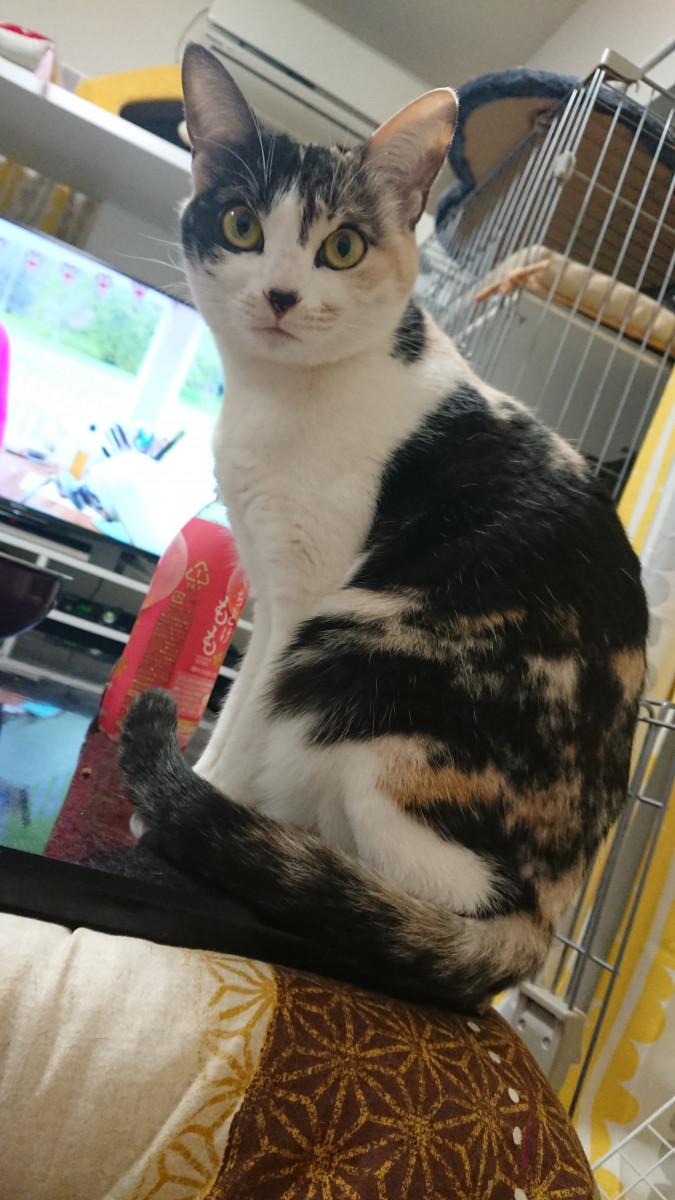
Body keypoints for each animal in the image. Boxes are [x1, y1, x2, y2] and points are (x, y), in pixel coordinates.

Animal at [119, 44, 648, 1010]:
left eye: (342, 247)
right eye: (242, 226)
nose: (282, 295)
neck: (281, 401)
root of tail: (548, 920)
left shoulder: (304, 591)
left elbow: (247, 719)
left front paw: (196, 793)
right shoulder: (267, 591)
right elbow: (239, 697)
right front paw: (203, 778)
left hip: (355, 654)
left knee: (419, 892)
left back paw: (269, 847)